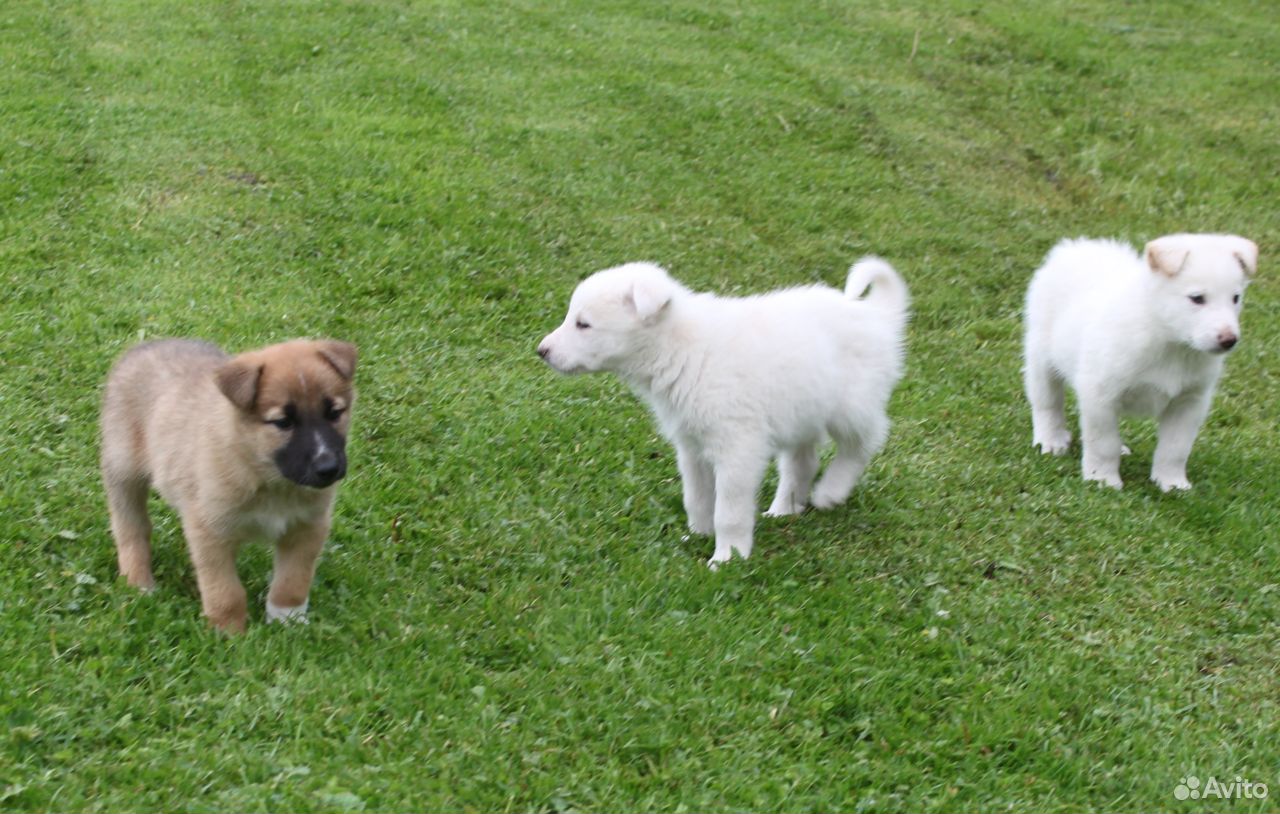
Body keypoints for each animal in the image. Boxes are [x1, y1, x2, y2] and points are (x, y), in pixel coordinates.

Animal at [100, 337, 358, 629]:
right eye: (283, 422)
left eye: (334, 413)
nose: (329, 468)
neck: (267, 478)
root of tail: (145, 346)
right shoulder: (210, 531)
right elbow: (225, 591)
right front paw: (229, 631)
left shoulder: (307, 527)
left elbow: (292, 582)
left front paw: (287, 620)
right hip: (123, 470)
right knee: (131, 528)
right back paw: (139, 582)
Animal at [540, 258, 911, 565]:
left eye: (583, 324)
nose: (541, 350)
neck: (682, 348)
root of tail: (877, 317)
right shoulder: (691, 447)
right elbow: (697, 497)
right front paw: (698, 534)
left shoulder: (738, 448)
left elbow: (728, 511)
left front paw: (727, 557)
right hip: (801, 413)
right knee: (802, 463)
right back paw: (784, 509)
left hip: (852, 408)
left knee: (862, 445)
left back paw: (830, 492)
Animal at [1024, 231, 1254, 494]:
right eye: (1197, 299)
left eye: (1235, 298)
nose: (1229, 340)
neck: (1171, 343)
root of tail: (1075, 247)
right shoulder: (1099, 395)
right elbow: (1103, 443)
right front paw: (1102, 480)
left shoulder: (1189, 402)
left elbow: (1175, 448)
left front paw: (1172, 483)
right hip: (1041, 358)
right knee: (1048, 404)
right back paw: (1051, 440)